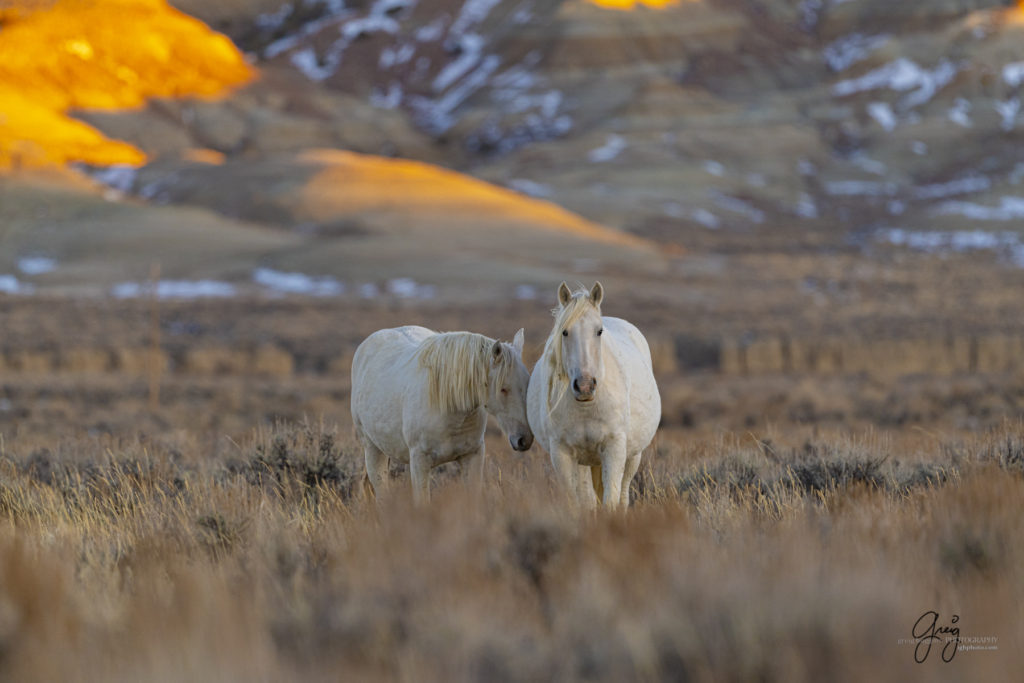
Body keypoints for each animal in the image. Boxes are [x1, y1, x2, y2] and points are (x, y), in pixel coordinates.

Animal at [350, 327, 532, 505]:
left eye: (527, 382)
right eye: (503, 389)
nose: (525, 439)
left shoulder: (472, 456)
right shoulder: (420, 462)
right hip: (373, 450)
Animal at [528, 280, 663, 509]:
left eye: (599, 331)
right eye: (564, 332)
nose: (584, 386)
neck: (587, 406)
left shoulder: (614, 448)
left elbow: (611, 502)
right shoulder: (562, 453)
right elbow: (578, 504)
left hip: (632, 456)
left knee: (623, 496)